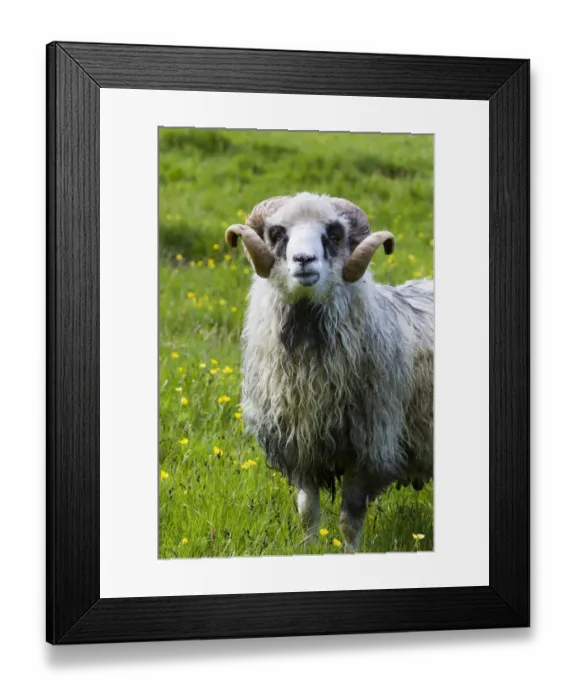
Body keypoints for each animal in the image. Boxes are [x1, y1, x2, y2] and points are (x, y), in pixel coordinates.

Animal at [225, 193, 433, 551]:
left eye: (333, 235)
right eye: (277, 234)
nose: (304, 259)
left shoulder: (368, 449)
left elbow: (349, 520)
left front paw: (350, 553)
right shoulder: (301, 445)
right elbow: (307, 512)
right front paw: (308, 549)